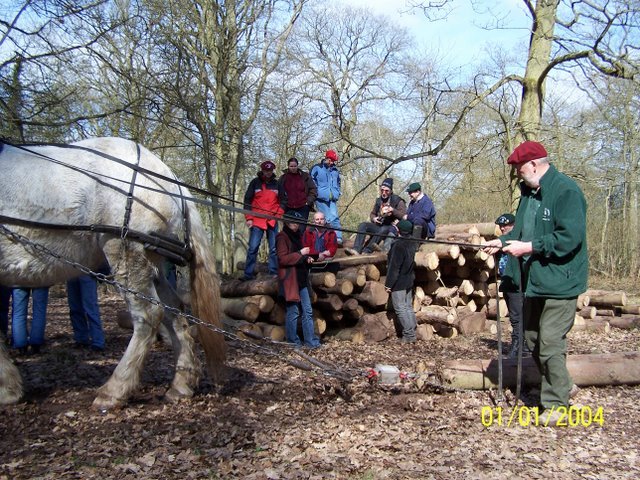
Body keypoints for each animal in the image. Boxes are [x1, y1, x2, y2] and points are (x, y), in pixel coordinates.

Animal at [0, 137, 228, 410]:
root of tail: (169, 178)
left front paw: (6, 388)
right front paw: (9, 387)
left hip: (125, 250)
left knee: (149, 314)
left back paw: (115, 389)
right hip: (150, 262)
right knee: (173, 311)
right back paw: (181, 384)